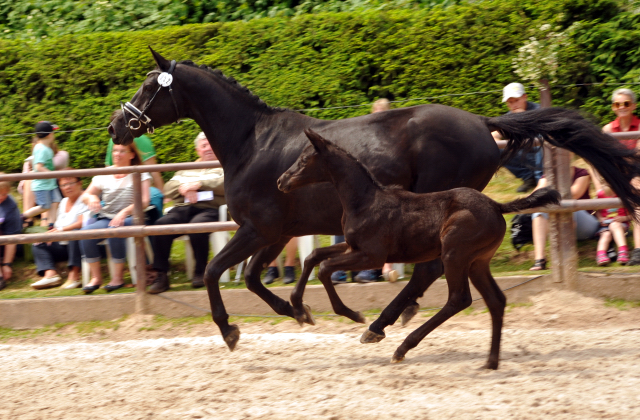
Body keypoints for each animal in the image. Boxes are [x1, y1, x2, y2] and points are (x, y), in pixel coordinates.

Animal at [276, 129, 560, 368]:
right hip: (478, 261)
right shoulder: (352, 246)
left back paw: (401, 347)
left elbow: (324, 268)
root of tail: (496, 205)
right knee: (496, 300)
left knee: (458, 299)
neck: (364, 201)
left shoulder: (371, 256)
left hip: (455, 254)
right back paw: (490, 362)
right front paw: (300, 309)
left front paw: (353, 314)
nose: (281, 181)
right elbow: (313, 257)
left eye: (304, 159)